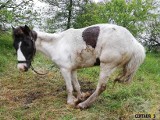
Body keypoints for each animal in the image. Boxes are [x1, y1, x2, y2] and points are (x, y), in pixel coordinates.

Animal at [12, 23, 145, 109]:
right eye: (15, 45)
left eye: (27, 44)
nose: (21, 68)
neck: (57, 44)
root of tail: (134, 43)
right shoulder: (73, 69)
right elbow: (76, 85)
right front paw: (80, 96)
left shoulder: (65, 70)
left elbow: (69, 87)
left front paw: (71, 101)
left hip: (107, 66)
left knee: (101, 87)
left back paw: (83, 105)